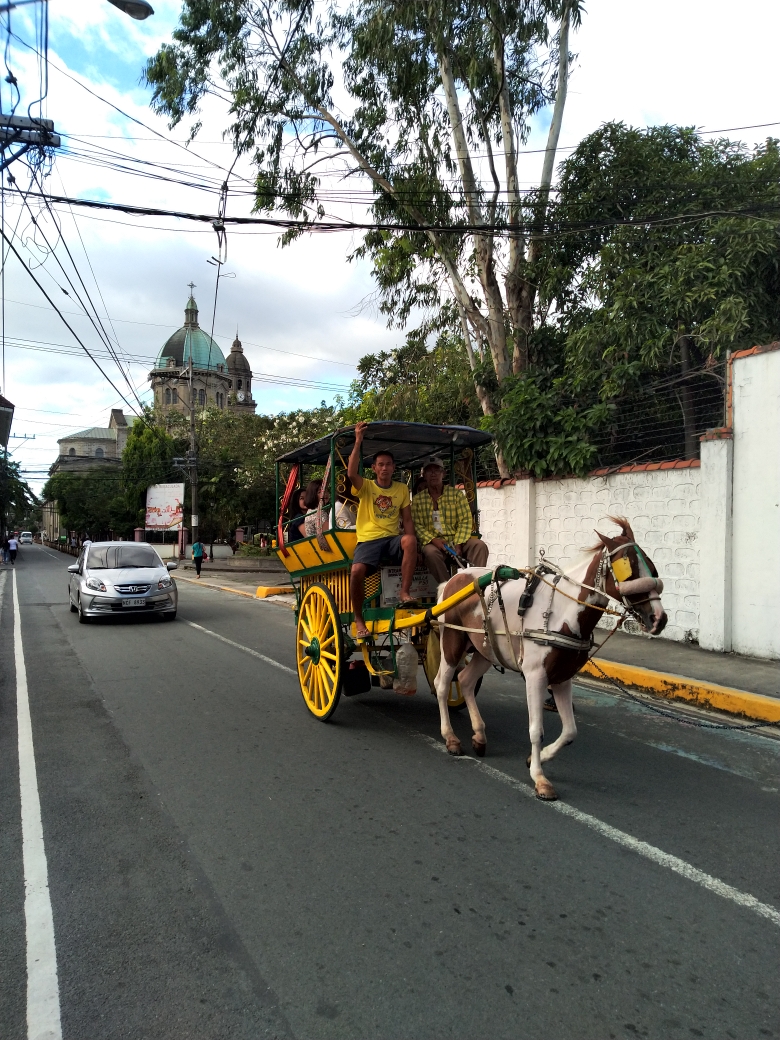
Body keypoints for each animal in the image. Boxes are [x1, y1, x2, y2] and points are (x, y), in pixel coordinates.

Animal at [434, 515, 665, 798]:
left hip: (484, 650)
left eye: (652, 567)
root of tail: (455, 578)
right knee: (443, 684)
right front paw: (540, 778)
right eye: (628, 569)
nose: (659, 619)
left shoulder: (562, 678)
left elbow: (570, 732)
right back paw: (450, 737)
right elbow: (536, 730)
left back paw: (479, 735)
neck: (563, 612)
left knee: (466, 680)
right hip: (452, 641)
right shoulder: (535, 676)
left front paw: (538, 758)